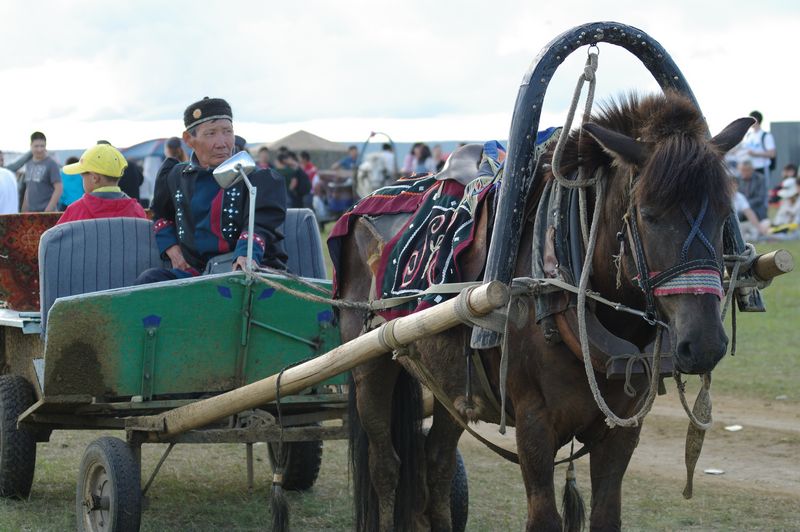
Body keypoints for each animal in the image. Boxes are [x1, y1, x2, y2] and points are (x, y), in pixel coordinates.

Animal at [338, 92, 756, 532]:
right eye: (648, 213)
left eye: (724, 213)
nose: (704, 344)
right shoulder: (534, 426)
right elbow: (544, 517)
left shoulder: (621, 430)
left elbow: (606, 515)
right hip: (369, 367)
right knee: (385, 465)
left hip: (450, 383)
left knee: (436, 462)